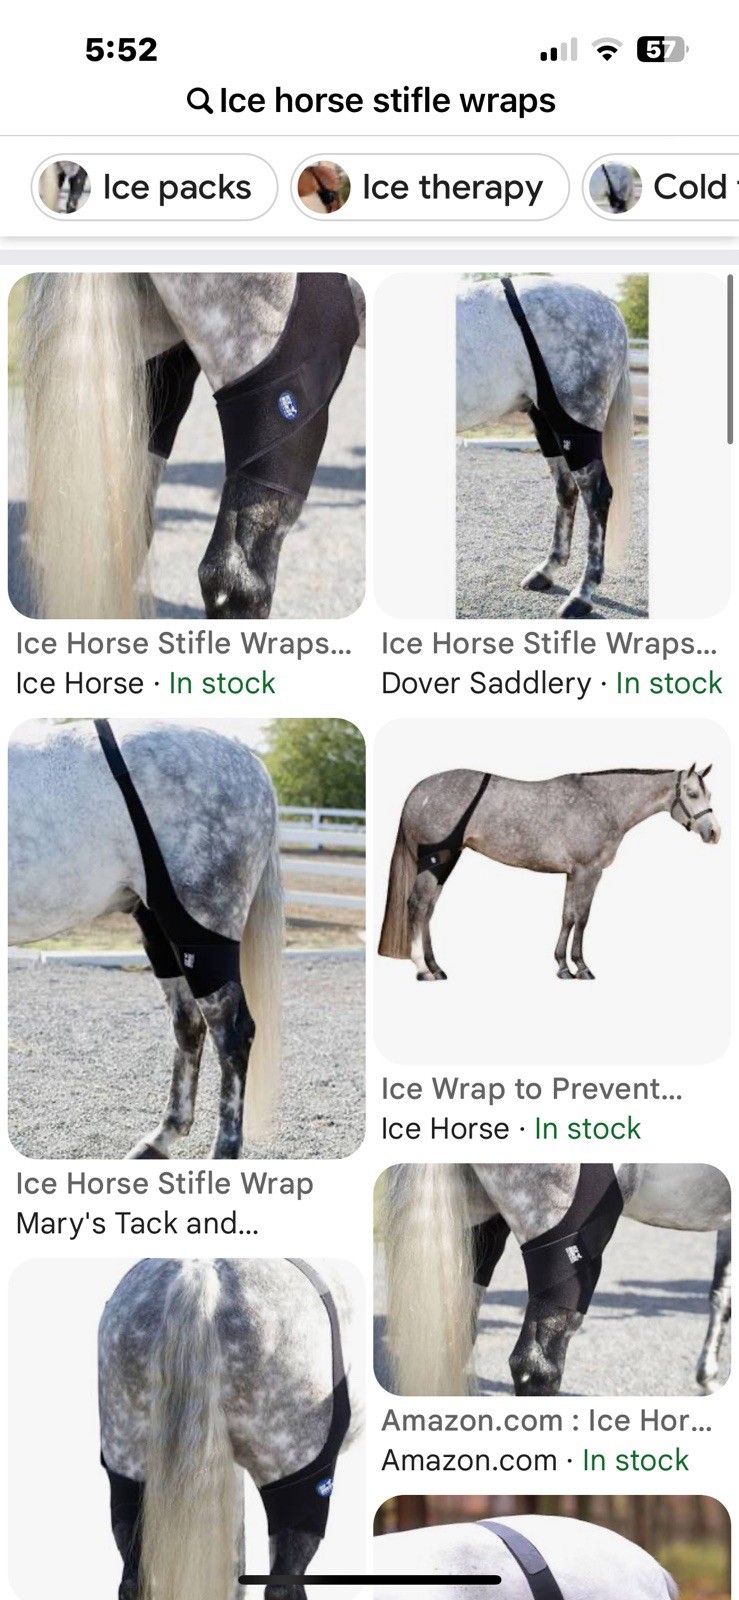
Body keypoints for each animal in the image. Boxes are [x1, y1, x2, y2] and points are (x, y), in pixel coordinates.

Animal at [8, 719, 282, 1158]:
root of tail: (251, 763)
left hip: (203, 925)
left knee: (233, 1033)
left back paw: (222, 1151)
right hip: (159, 928)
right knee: (189, 1024)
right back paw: (160, 1138)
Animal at [379, 764, 719, 981]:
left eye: (709, 794)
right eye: (691, 794)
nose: (714, 833)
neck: (604, 803)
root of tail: (417, 791)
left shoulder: (573, 874)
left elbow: (567, 916)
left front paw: (563, 967)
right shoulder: (588, 872)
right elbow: (582, 918)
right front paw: (581, 967)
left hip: (447, 860)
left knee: (428, 910)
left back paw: (436, 967)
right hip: (436, 860)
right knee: (417, 906)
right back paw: (423, 970)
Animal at [456, 276, 633, 617]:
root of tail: (609, 307)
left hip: (576, 422)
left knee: (598, 497)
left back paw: (581, 595)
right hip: (546, 423)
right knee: (566, 490)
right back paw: (546, 570)